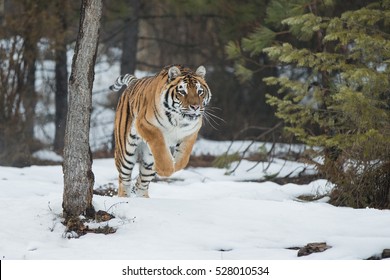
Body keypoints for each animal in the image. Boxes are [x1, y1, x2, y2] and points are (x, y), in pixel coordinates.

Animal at [109, 65, 212, 198]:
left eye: (200, 91)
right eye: (182, 92)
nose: (195, 107)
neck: (178, 120)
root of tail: (134, 81)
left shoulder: (191, 132)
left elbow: (183, 158)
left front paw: (174, 165)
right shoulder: (145, 124)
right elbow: (159, 144)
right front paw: (165, 170)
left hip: (148, 158)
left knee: (142, 182)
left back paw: (144, 198)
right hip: (125, 151)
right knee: (124, 178)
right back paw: (125, 197)